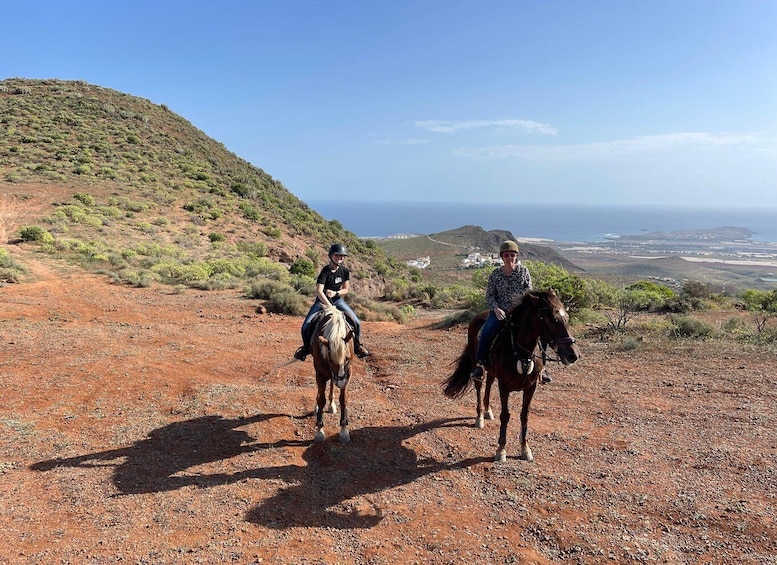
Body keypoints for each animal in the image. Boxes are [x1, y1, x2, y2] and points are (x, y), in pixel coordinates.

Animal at [312, 306, 354, 442]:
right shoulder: (320, 373)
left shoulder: (348, 373)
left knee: (331, 383)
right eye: (330, 360)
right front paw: (319, 430)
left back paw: (331, 404)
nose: (340, 382)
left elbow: (344, 399)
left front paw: (344, 430)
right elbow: (321, 399)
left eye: (347, 359)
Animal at [440, 288, 580, 460]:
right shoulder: (504, 386)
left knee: (489, 384)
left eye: (567, 317)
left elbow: (525, 415)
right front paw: (501, 449)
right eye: (552, 319)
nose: (573, 355)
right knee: (479, 387)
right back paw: (480, 417)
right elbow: (505, 415)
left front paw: (525, 448)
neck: (522, 353)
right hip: (476, 364)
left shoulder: (531, 387)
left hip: (492, 371)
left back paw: (488, 411)